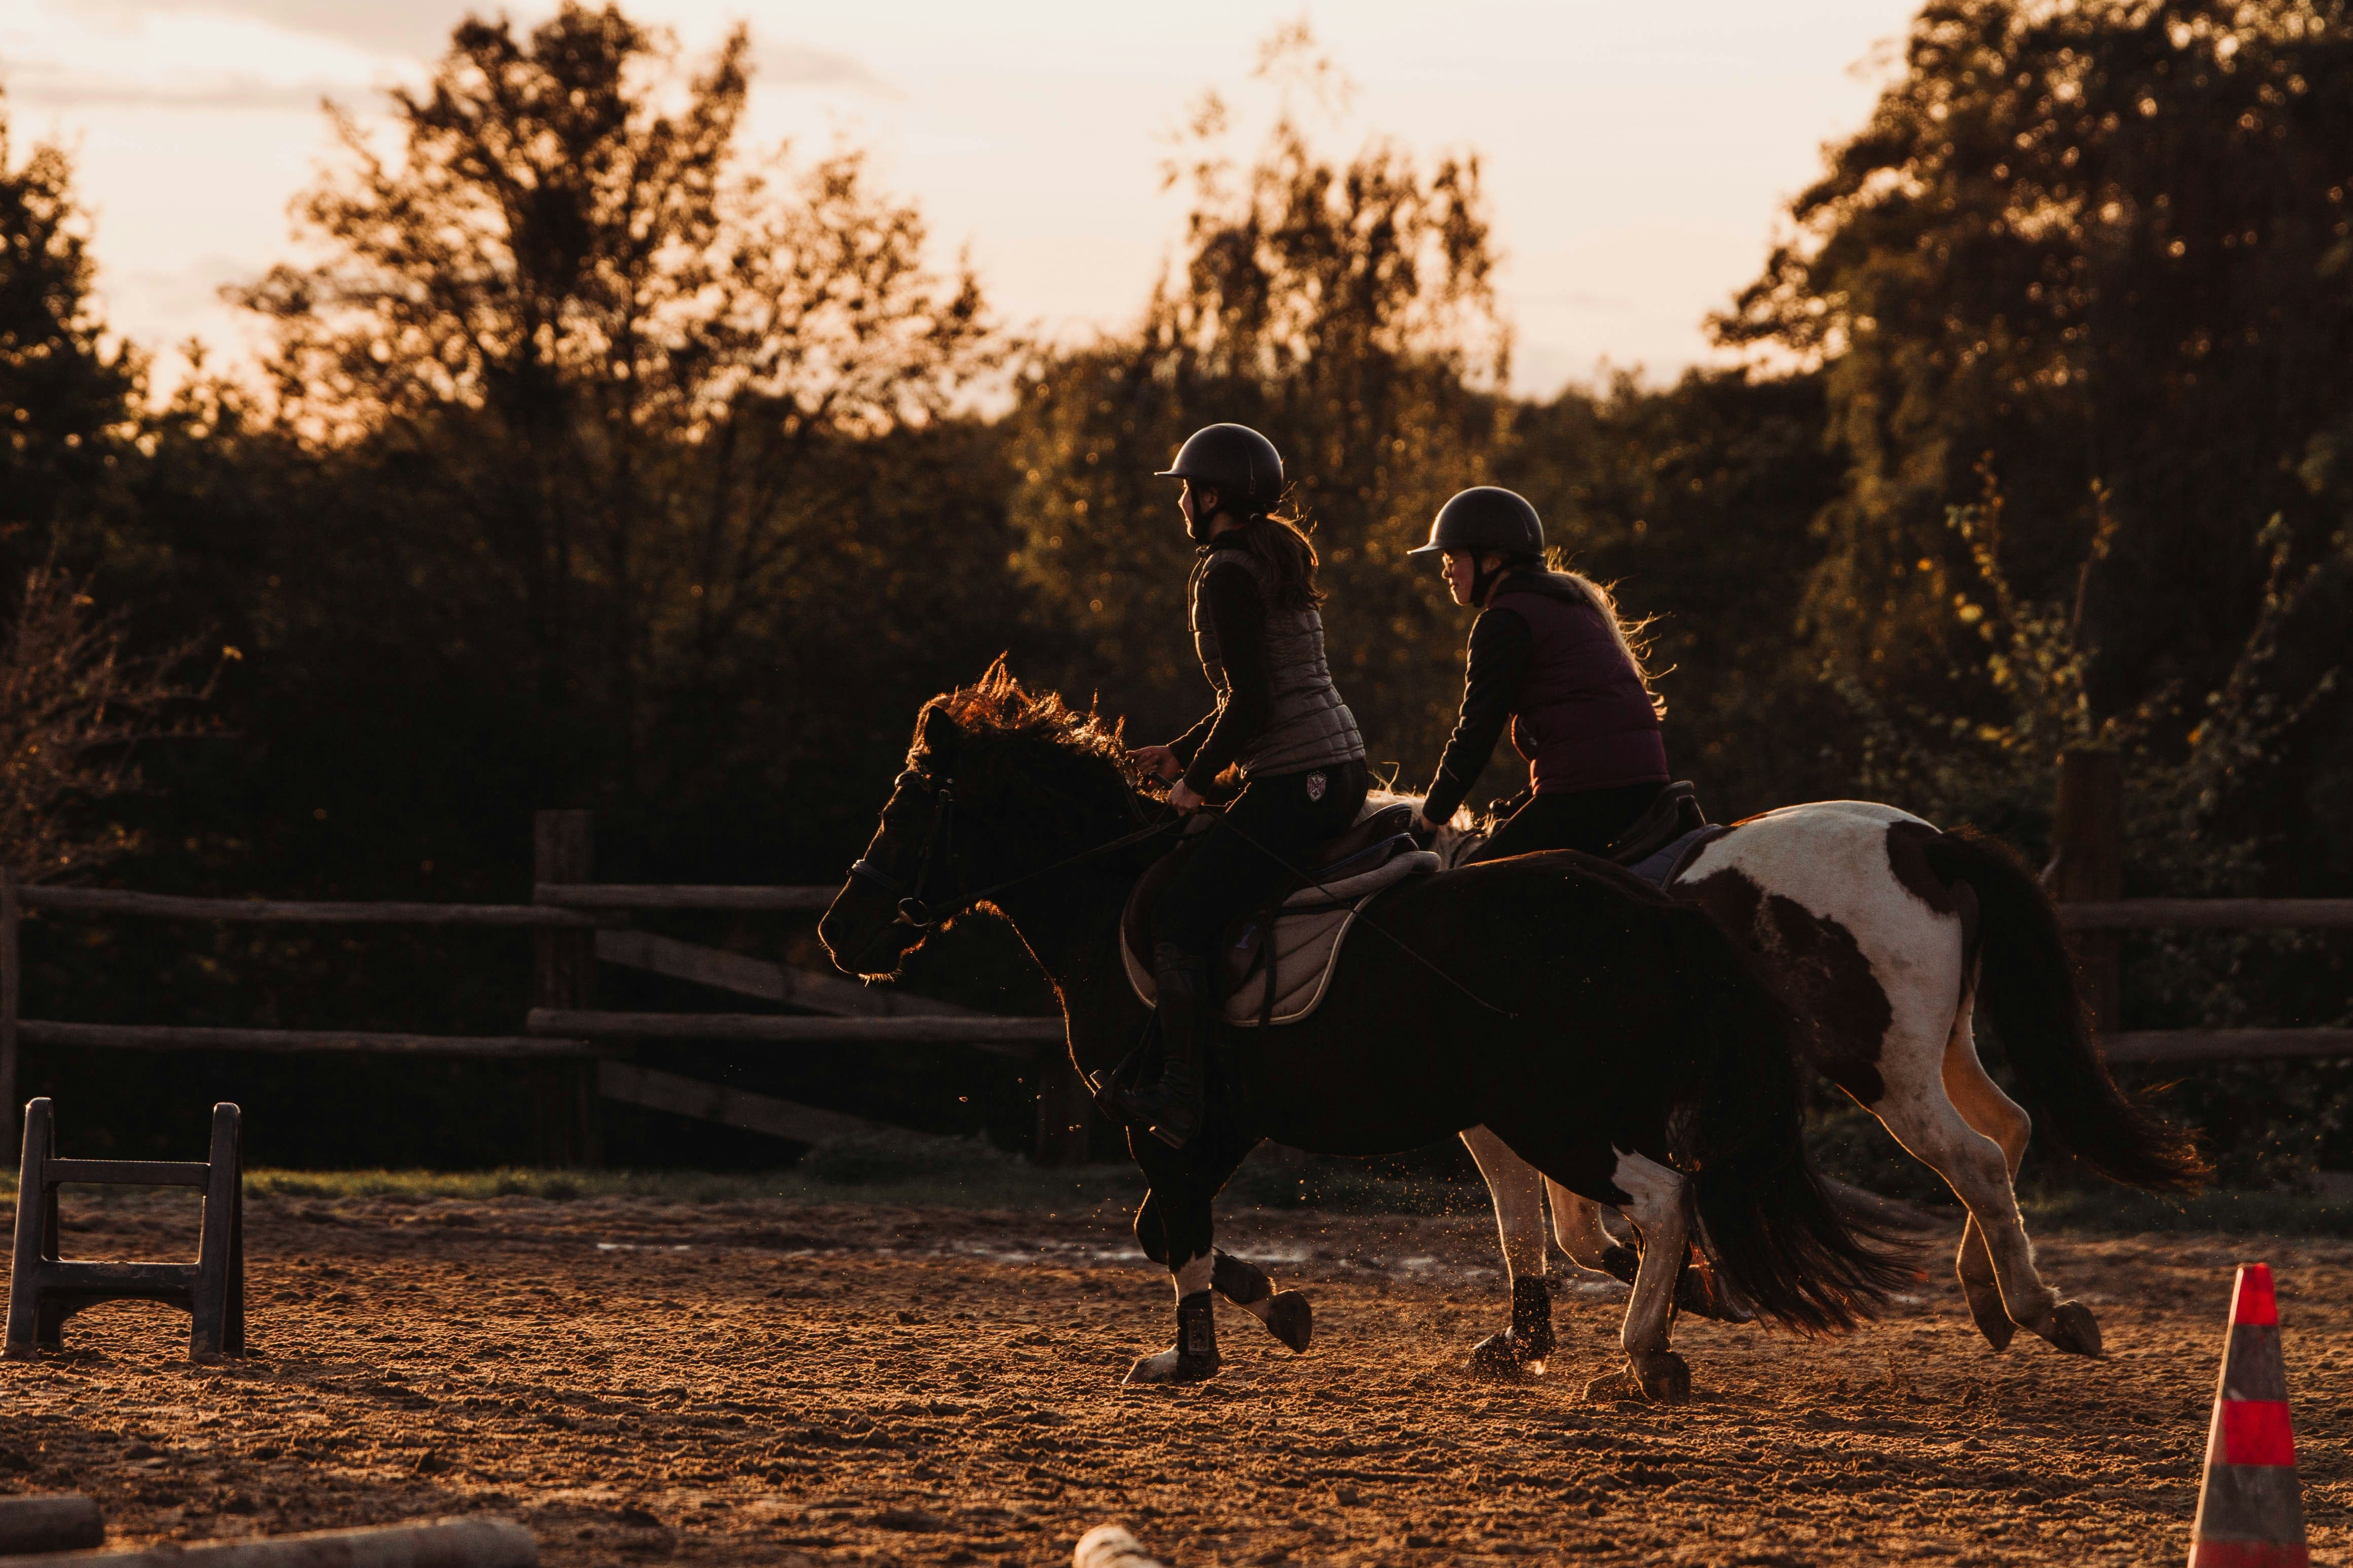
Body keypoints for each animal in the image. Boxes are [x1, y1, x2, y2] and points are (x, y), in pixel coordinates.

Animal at [816, 667, 1914, 1401]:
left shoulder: (1168, 1118)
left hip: (1558, 1108)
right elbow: (1166, 1227)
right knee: (1643, 1210)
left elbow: (1168, 1227)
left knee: (1662, 1198)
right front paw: (1279, 1306)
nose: (840, 928)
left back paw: (1644, 1351)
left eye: (905, 806)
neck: (1113, 891)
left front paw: (1194, 1351)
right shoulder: (1224, 1125)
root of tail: (1652, 907)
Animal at [1418, 798, 2208, 1376]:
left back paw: (2035, 1306)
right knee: (2007, 1127)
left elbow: (1533, 1224)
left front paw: (1538, 1339)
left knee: (1974, 1157)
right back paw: (1988, 1293)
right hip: (1942, 1051)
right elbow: (1580, 1228)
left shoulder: (1514, 1118)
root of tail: (1925, 845)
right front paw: (1679, 1295)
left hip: (1883, 1073)